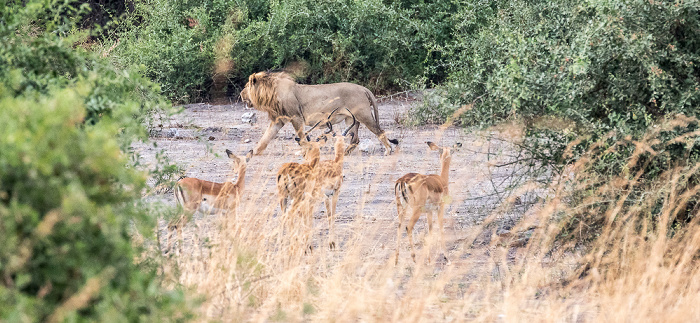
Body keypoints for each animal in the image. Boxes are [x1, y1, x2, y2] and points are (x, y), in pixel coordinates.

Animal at [241, 70, 396, 156]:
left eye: (246, 86)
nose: (240, 94)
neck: (272, 93)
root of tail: (363, 88)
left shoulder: (296, 117)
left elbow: (301, 136)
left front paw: (305, 151)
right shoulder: (278, 120)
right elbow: (266, 137)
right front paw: (254, 152)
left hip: (363, 115)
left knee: (380, 131)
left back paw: (388, 150)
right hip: (351, 120)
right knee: (355, 139)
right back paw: (344, 153)